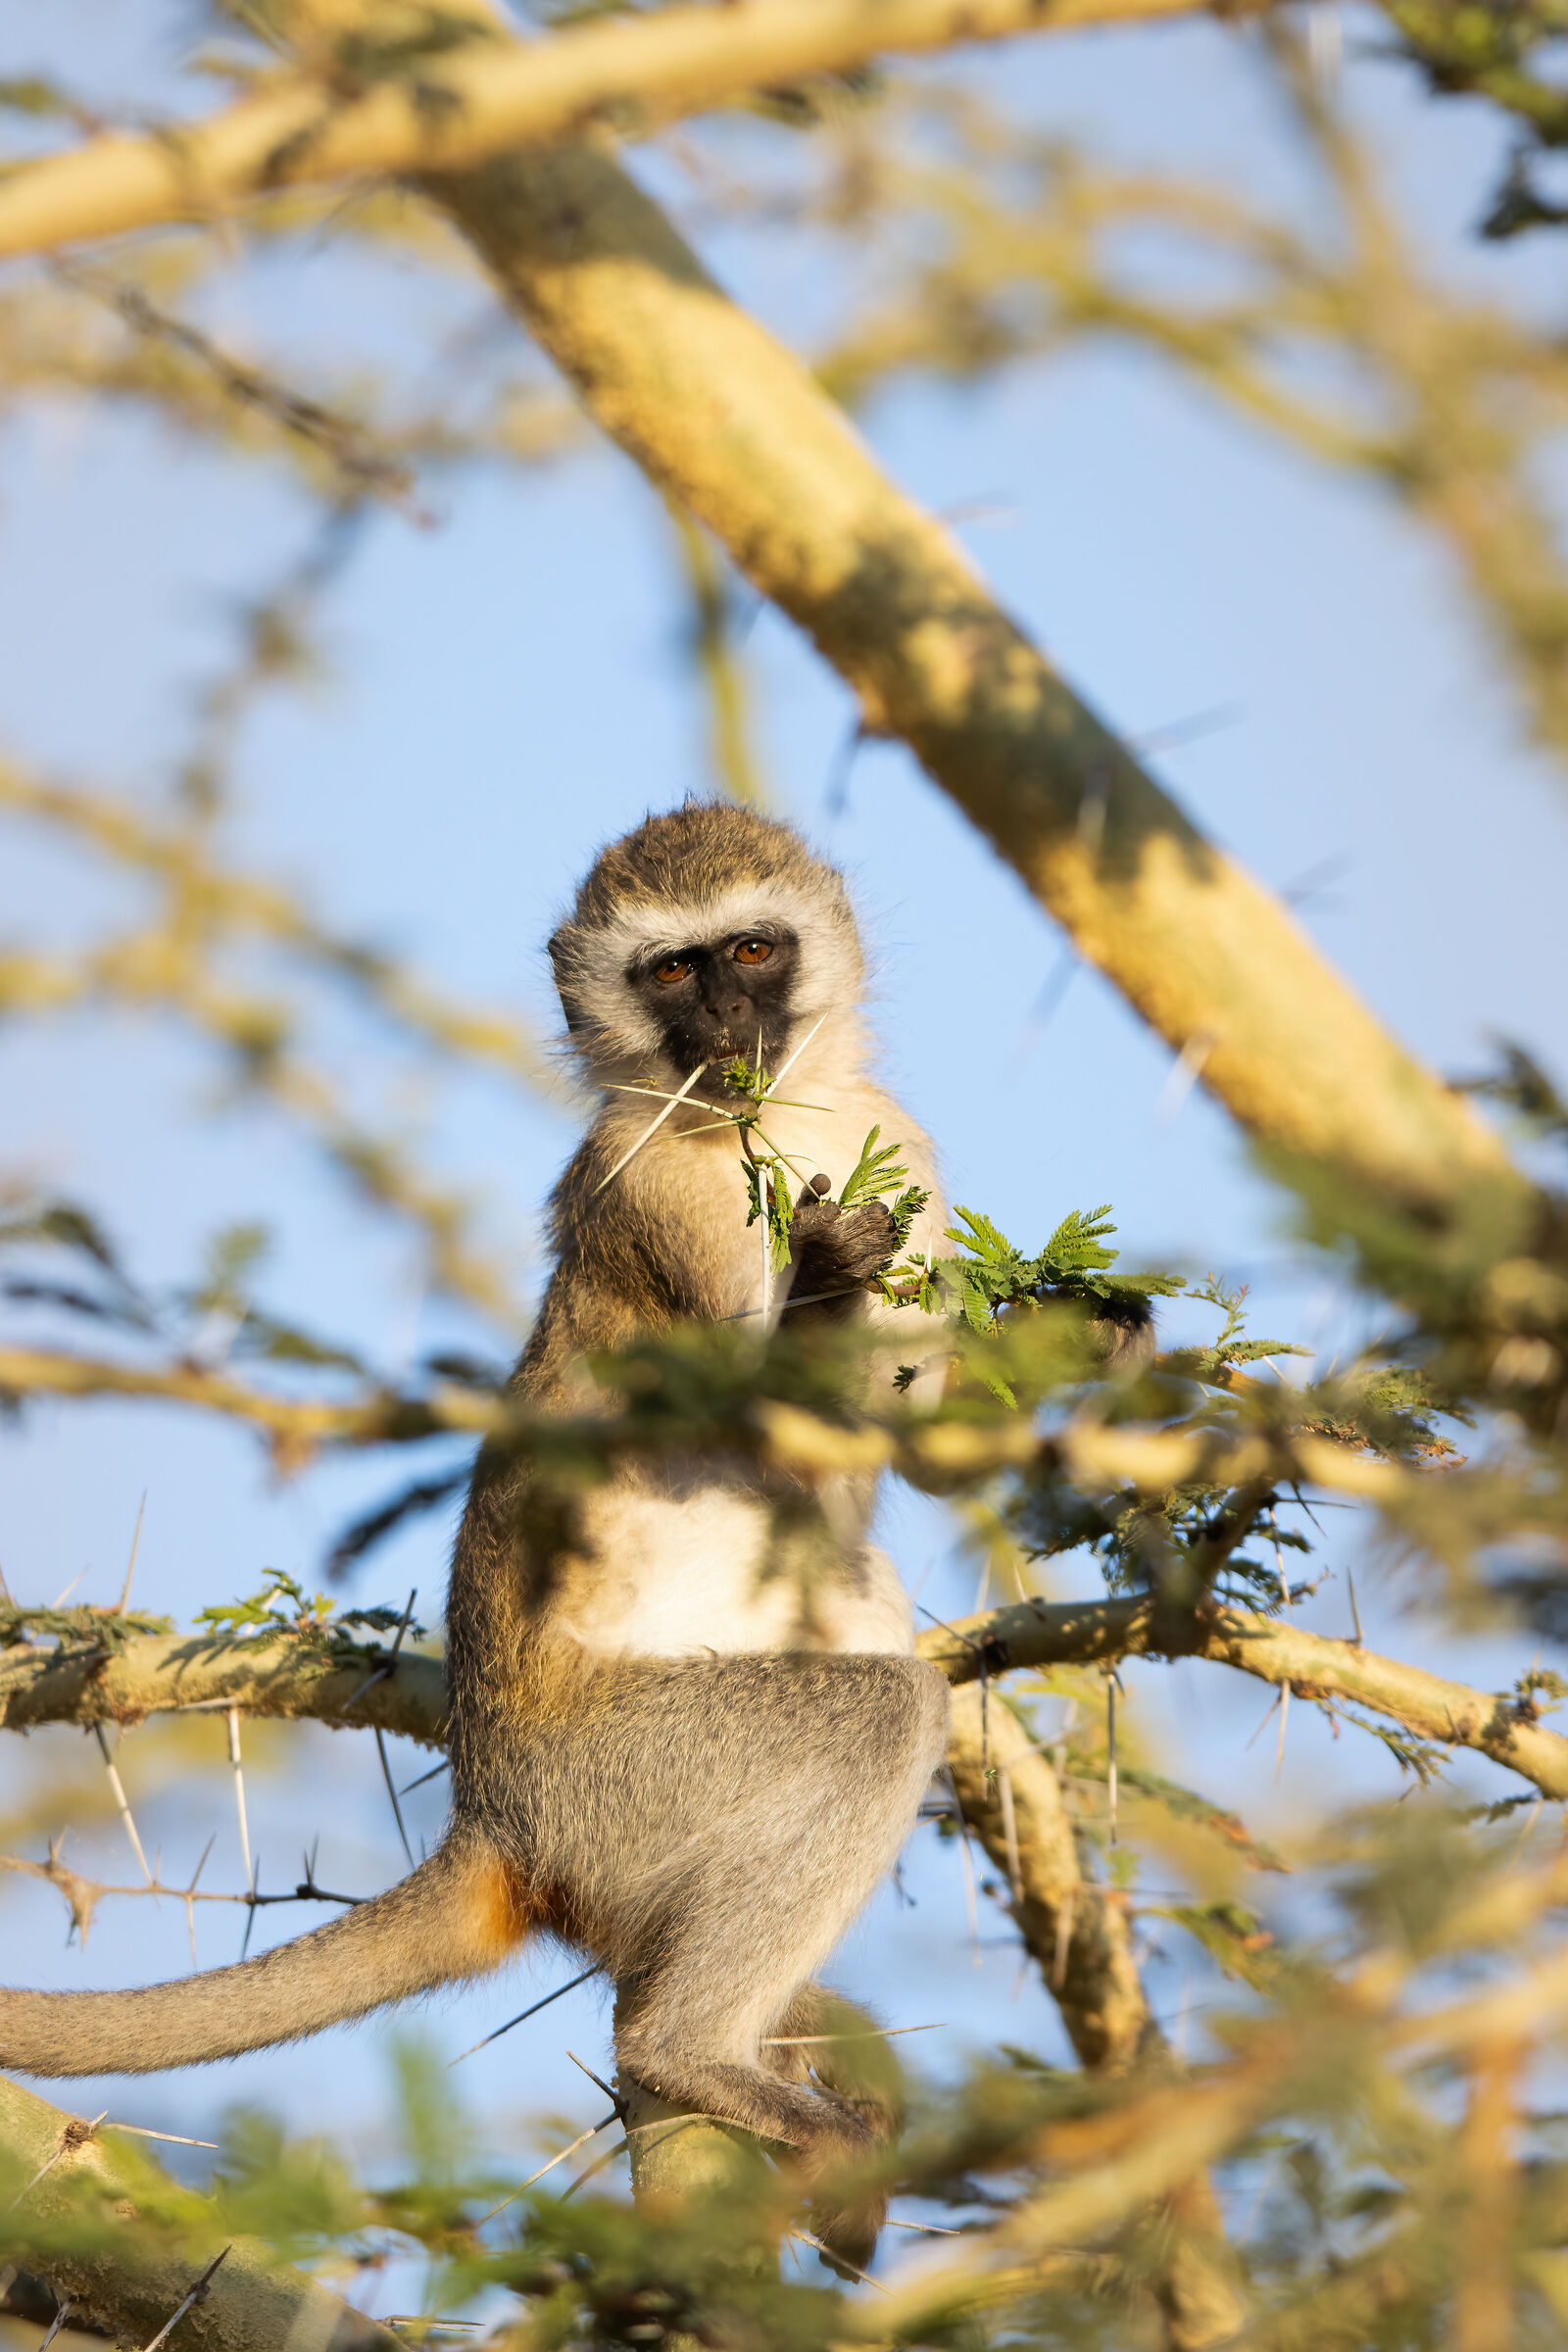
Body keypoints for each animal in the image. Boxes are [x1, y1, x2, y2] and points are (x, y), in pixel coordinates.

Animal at [0, 805, 955, 2269]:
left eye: (749, 950)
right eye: (670, 973)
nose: (724, 1026)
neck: (791, 1115)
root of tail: (493, 1813)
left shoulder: (904, 1143)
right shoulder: (659, 1193)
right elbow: (789, 1446)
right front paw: (831, 1285)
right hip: (628, 1780)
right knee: (877, 1713)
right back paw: (691, 2052)